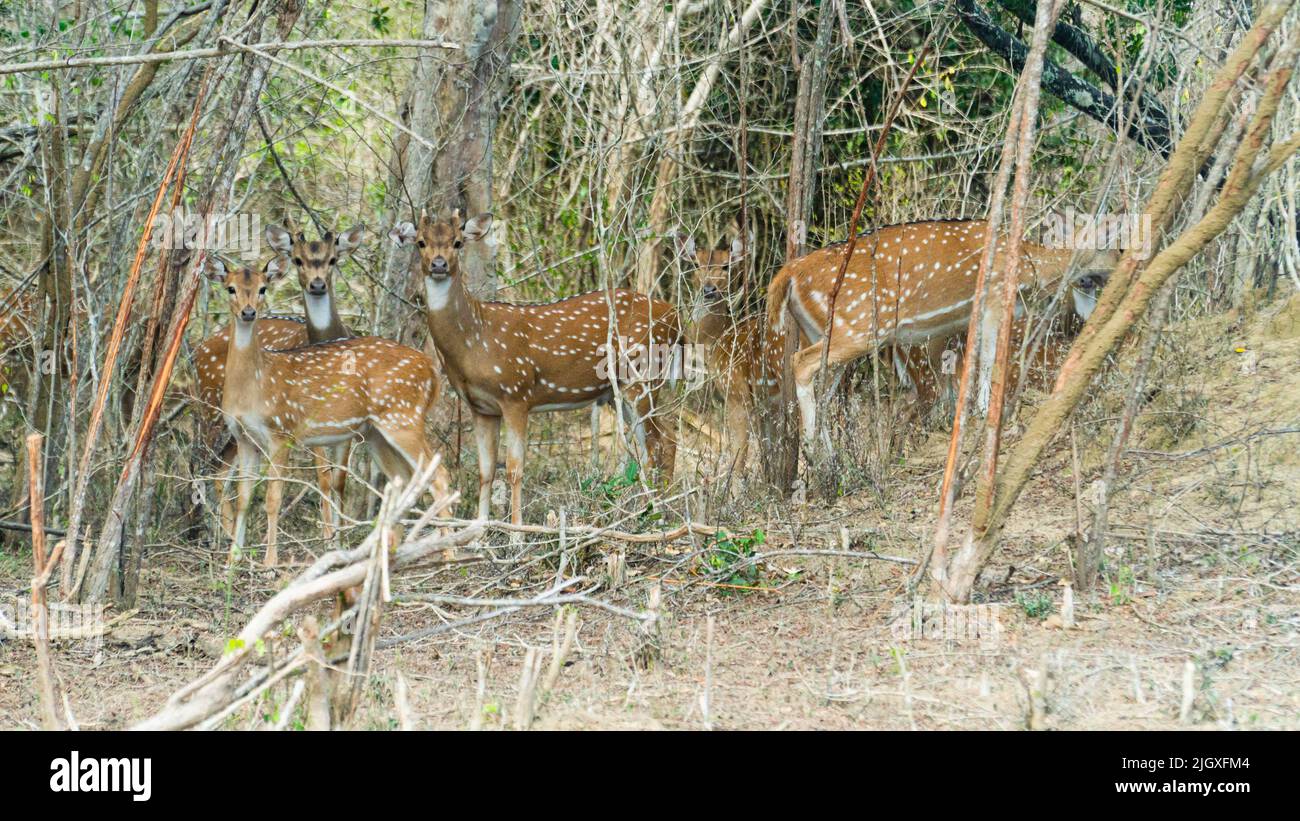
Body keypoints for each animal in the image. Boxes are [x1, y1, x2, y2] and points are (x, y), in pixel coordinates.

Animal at [193, 221, 363, 543]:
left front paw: (342, 534)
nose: (317, 285)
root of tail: (198, 349)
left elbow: (340, 479)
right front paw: (327, 537)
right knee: (202, 465)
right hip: (209, 408)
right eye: (298, 260)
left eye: (333, 259)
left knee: (221, 469)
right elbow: (323, 477)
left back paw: (228, 538)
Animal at [203, 254, 449, 566]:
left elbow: (272, 499)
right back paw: (389, 551)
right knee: (406, 480)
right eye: (230, 288)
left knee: (439, 474)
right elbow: (244, 498)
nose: (248, 313)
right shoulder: (245, 437)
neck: (253, 387)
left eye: (262, 288)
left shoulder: (281, 430)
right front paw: (231, 562)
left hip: (403, 417)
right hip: (377, 432)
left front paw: (269, 564)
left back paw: (451, 552)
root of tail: (431, 369)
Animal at [389, 210, 681, 525]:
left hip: (644, 376)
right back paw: (646, 508)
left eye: (457, 242)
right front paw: (480, 529)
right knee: (652, 444)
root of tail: (676, 318)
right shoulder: (481, 407)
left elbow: (515, 468)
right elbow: (485, 470)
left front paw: (517, 529)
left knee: (663, 440)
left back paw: (660, 513)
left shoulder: (516, 393)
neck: (474, 342)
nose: (439, 264)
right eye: (421, 242)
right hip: (620, 393)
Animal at [765, 219, 1116, 445]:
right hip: (857, 327)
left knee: (823, 388)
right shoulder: (992, 297)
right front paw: (984, 412)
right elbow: (988, 358)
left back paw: (824, 456)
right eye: (1112, 245)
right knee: (800, 363)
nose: (1116, 270)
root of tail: (789, 273)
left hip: (819, 331)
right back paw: (813, 448)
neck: (1027, 271)